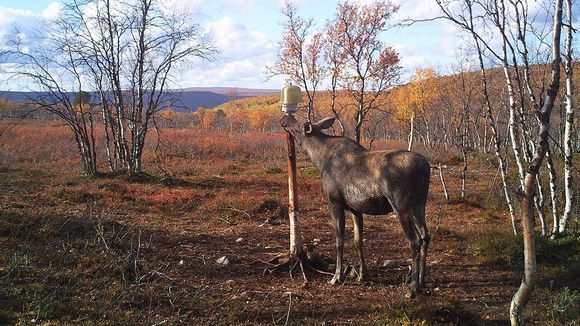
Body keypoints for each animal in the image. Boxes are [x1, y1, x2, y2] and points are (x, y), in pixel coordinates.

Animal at [280, 114, 430, 298]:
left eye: (299, 126)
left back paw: (413, 288)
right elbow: (358, 241)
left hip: (401, 207)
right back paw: (422, 282)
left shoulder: (335, 204)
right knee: (425, 236)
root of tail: (426, 167)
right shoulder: (355, 209)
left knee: (415, 240)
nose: (286, 117)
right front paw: (362, 275)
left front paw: (337, 277)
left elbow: (339, 241)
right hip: (419, 205)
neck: (319, 159)